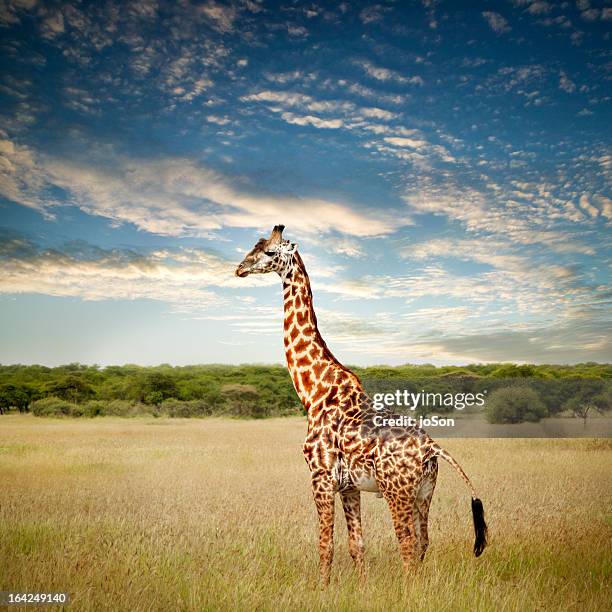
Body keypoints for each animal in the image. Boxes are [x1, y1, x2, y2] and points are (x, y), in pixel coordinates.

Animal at [235, 225, 488, 584]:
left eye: (270, 252)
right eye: (253, 246)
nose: (239, 269)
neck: (313, 391)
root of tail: (432, 447)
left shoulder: (321, 477)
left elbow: (325, 545)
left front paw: (322, 589)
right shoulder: (349, 486)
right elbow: (357, 545)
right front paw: (362, 586)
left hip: (397, 492)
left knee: (408, 545)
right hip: (424, 492)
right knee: (423, 541)